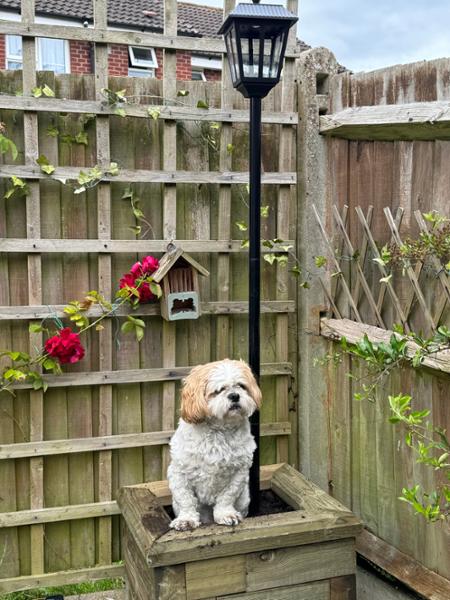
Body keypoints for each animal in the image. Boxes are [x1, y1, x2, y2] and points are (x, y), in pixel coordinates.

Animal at [168, 358, 260, 528]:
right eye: (219, 390)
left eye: (241, 386)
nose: (234, 395)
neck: (219, 430)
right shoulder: (178, 472)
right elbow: (185, 498)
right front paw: (186, 519)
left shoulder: (239, 472)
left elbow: (227, 496)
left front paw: (226, 515)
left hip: (244, 499)